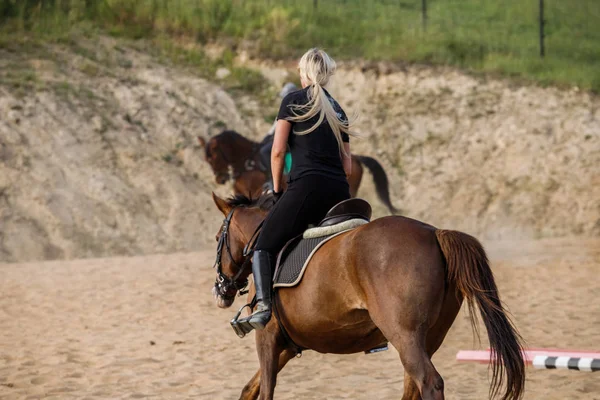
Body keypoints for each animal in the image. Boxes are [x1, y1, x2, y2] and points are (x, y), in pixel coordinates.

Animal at [210, 193, 524, 400]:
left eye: (216, 239)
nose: (220, 290)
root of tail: (434, 232)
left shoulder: (266, 338)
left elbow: (264, 391)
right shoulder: (287, 344)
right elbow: (249, 389)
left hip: (404, 336)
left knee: (429, 383)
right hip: (427, 339)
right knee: (413, 387)